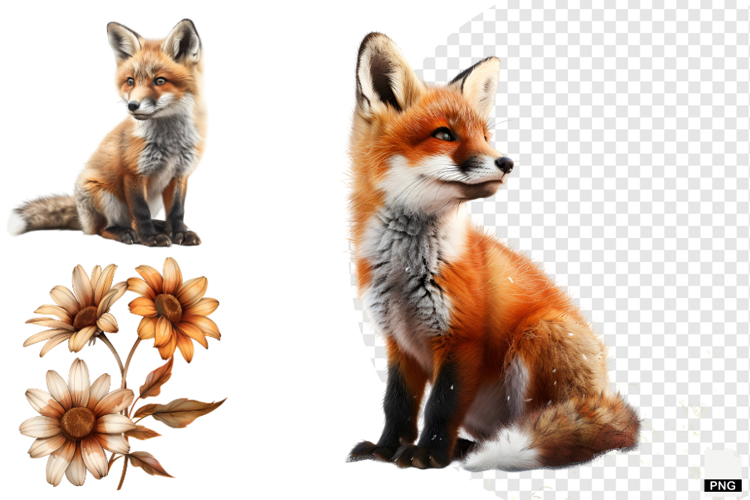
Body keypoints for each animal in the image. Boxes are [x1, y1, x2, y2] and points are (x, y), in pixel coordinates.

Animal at [7, 19, 205, 246]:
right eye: (130, 81)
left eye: (160, 81)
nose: (132, 106)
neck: (170, 141)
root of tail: (82, 217)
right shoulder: (133, 172)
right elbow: (141, 212)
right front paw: (149, 237)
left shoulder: (180, 174)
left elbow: (176, 211)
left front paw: (179, 233)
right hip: (101, 194)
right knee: (103, 229)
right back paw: (127, 233)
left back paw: (159, 226)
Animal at [347, 33, 640, 471]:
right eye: (444, 135)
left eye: (484, 135)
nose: (507, 162)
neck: (404, 272)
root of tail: (605, 391)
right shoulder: (399, 343)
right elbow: (396, 404)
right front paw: (386, 449)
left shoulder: (462, 339)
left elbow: (440, 406)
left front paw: (428, 454)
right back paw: (463, 448)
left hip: (541, 332)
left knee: (535, 423)